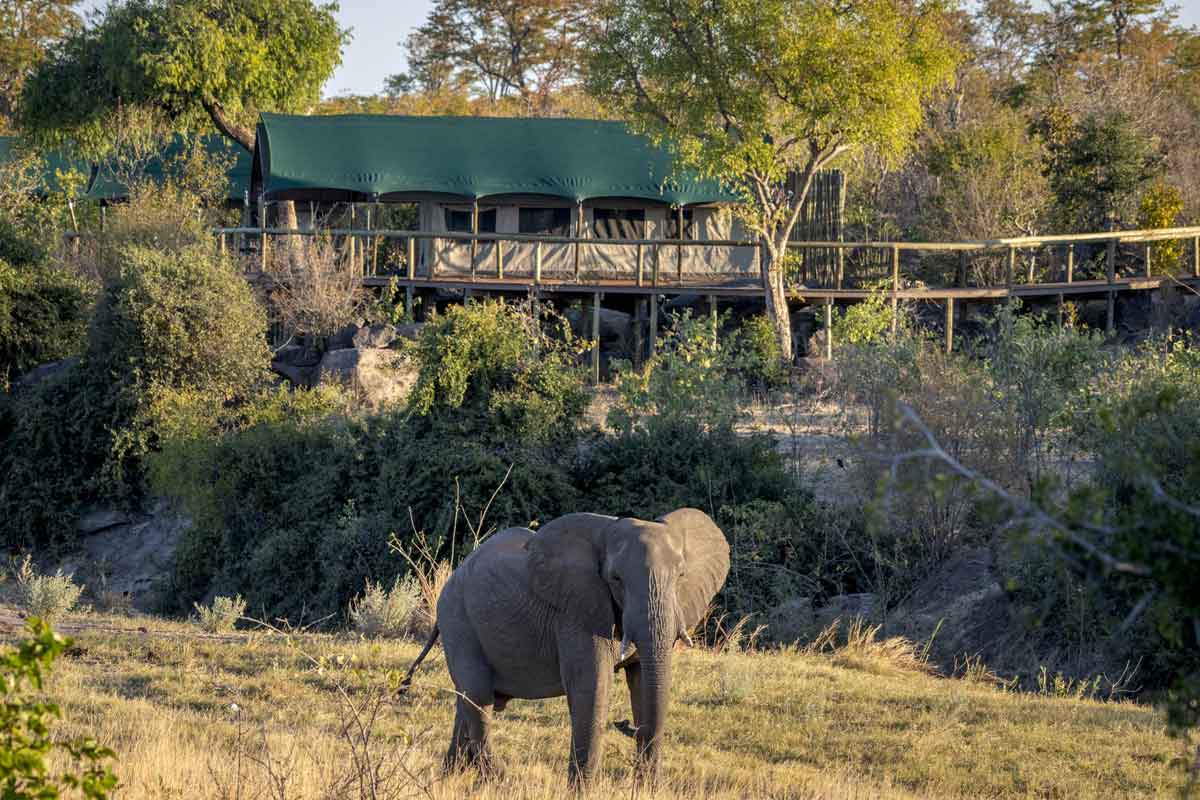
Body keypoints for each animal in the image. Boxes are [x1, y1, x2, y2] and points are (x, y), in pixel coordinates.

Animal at [398, 510, 724, 786]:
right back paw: (499, 780)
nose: (626, 725)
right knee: (478, 697)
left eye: (681, 576)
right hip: (459, 622)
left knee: (465, 701)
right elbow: (592, 686)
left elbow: (643, 681)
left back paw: (450, 778)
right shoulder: (576, 612)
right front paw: (581, 791)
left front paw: (647, 789)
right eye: (616, 579)